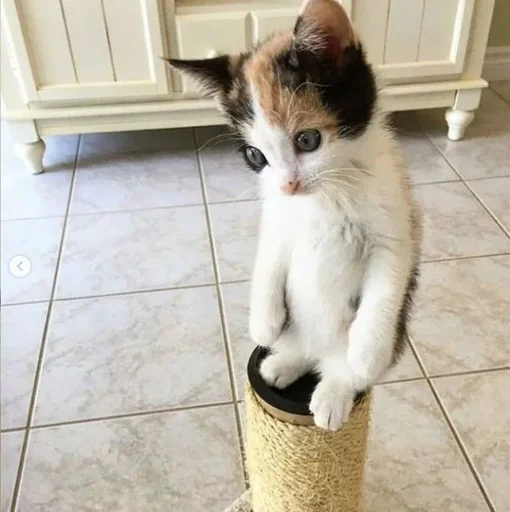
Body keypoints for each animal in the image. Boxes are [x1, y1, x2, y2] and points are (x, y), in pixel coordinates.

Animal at [169, 0, 421, 431]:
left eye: (307, 140)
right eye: (256, 156)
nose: (289, 185)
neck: (326, 196)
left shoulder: (395, 227)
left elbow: (385, 288)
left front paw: (366, 351)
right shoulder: (276, 219)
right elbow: (268, 259)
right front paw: (262, 322)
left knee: (341, 368)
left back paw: (334, 393)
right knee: (302, 350)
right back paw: (281, 364)